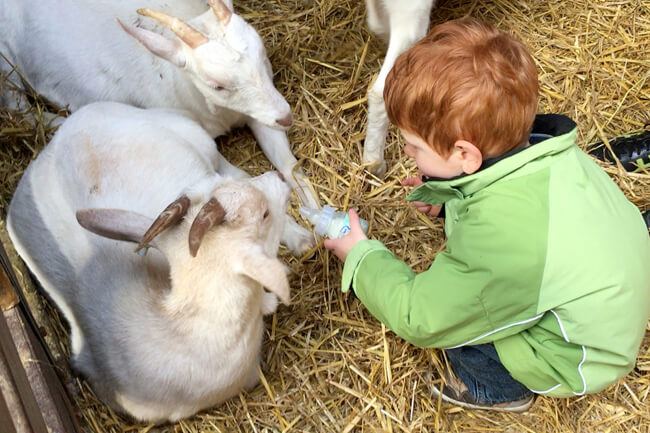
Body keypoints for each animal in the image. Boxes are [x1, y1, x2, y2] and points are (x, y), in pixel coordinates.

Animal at [0, 0, 318, 209]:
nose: (286, 116)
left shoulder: (259, 112)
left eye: (262, 52)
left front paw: (315, 211)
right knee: (20, 108)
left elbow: (288, 163)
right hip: (7, 68)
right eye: (217, 85)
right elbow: (238, 174)